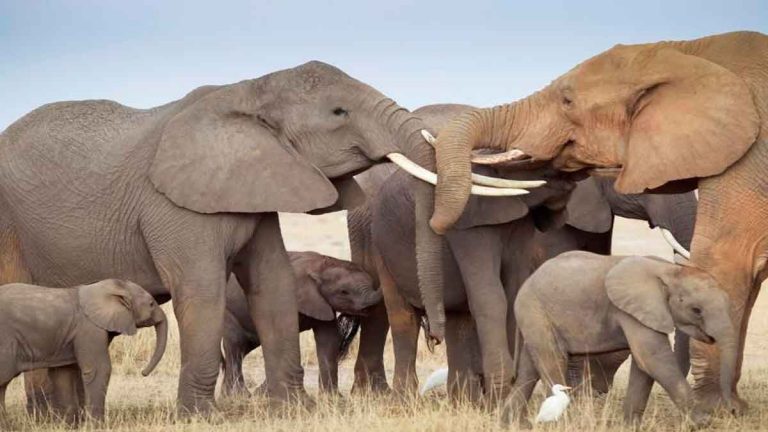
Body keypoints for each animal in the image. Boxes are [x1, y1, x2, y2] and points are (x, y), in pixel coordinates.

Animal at [0, 279, 167, 423]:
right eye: (151, 304)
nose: (143, 372)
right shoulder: (89, 328)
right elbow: (99, 369)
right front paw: (97, 425)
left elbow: (63, 375)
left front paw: (68, 425)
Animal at [221, 251, 380, 396]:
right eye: (344, 292)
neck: (321, 266)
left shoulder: (322, 302)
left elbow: (328, 340)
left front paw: (334, 398)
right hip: (227, 312)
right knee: (236, 345)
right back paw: (239, 396)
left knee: (242, 349)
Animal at [430, 30, 767, 409]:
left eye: (566, 100)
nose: (436, 224)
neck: (687, 51)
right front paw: (724, 408)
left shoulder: (751, 156)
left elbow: (728, 262)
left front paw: (721, 407)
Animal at [502, 251, 737, 428]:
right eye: (696, 310)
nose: (733, 410)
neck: (669, 270)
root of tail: (526, 283)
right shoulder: (632, 309)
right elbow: (653, 358)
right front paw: (704, 422)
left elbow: (644, 365)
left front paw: (631, 426)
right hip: (535, 311)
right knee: (552, 361)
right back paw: (567, 423)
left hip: (534, 317)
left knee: (529, 370)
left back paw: (513, 423)